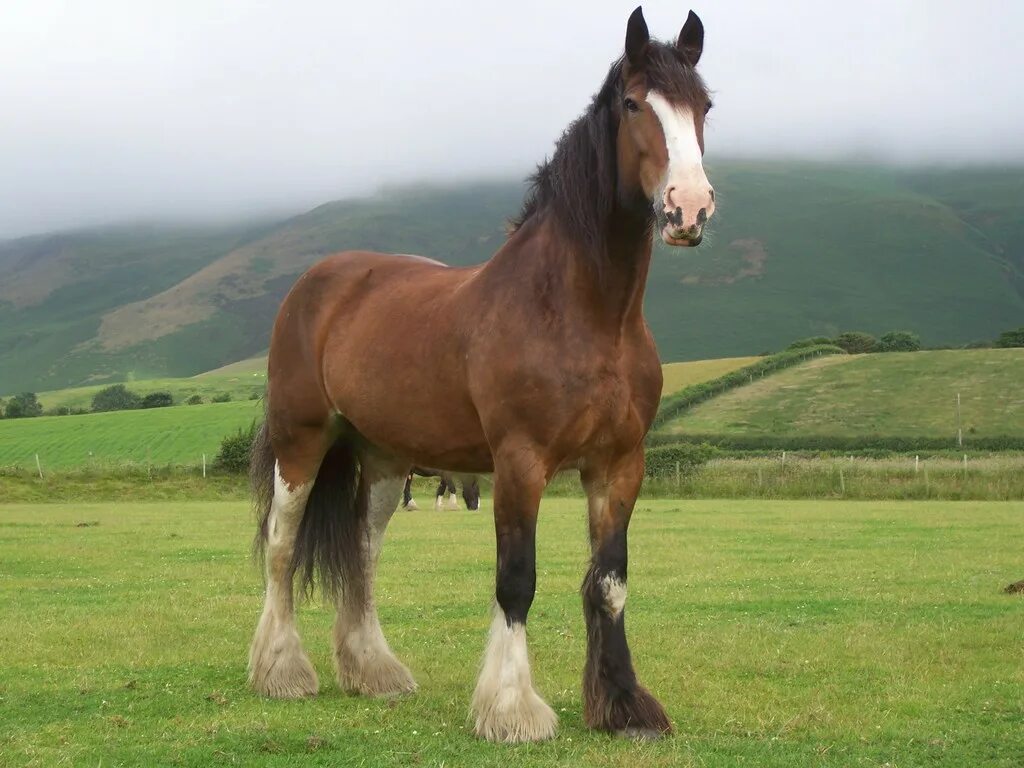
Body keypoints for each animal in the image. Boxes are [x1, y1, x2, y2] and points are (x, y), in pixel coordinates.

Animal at [247, 7, 712, 745]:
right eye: (636, 104)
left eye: (704, 107)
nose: (689, 208)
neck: (584, 313)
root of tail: (319, 283)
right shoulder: (520, 462)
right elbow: (516, 580)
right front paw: (513, 709)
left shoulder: (618, 464)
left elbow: (609, 582)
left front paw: (624, 707)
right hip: (301, 443)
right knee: (281, 547)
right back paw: (283, 671)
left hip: (384, 460)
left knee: (364, 555)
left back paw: (374, 671)